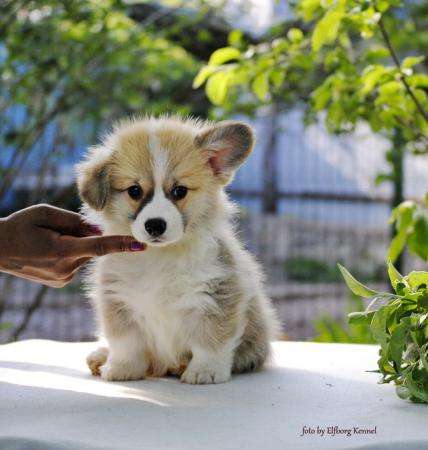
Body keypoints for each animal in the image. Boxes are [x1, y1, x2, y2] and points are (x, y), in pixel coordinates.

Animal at [77, 116, 280, 384]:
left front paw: (205, 371)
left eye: (180, 191)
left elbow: (211, 340)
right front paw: (122, 368)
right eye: (134, 191)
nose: (155, 225)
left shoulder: (217, 295)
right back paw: (101, 355)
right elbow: (126, 342)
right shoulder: (118, 299)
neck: (159, 256)